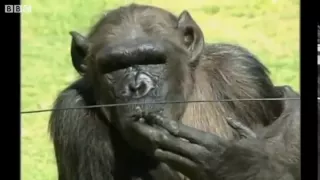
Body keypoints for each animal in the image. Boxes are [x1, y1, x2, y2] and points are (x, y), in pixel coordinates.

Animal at [48, 3, 298, 180]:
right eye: (114, 67)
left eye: (154, 60)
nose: (137, 87)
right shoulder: (73, 116)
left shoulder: (244, 72)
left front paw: (238, 163)